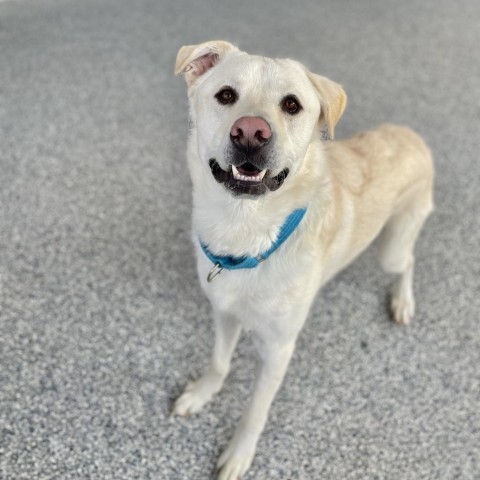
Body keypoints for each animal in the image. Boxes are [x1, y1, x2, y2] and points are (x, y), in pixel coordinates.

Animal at [173, 42, 436, 480]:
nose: (250, 132)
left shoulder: (279, 349)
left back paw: (403, 301)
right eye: (226, 95)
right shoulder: (223, 313)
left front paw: (239, 454)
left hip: (391, 250)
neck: (245, 232)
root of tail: (412, 134)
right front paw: (203, 393)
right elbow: (219, 363)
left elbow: (255, 412)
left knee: (409, 261)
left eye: (292, 105)